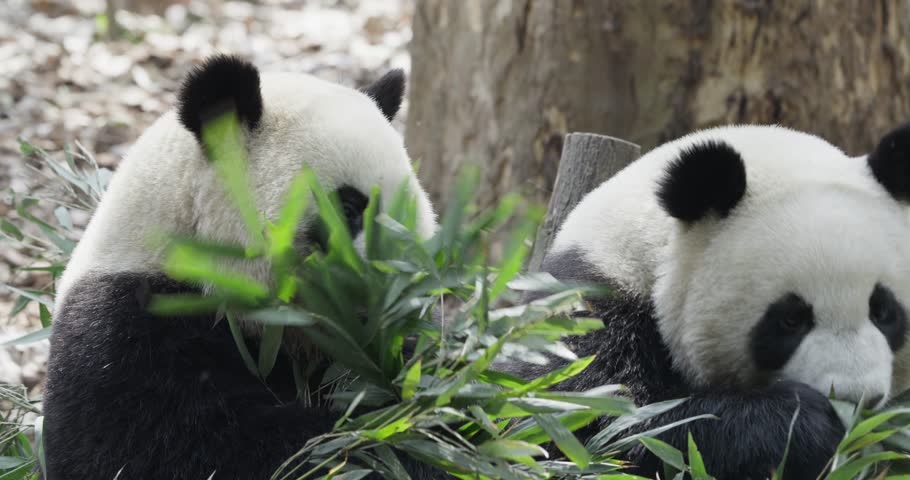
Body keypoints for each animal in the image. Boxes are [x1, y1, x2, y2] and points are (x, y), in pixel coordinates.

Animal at [524, 124, 910, 479]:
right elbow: (601, 426)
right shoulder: (591, 302)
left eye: (883, 311)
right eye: (790, 320)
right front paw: (806, 424)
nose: (856, 400)